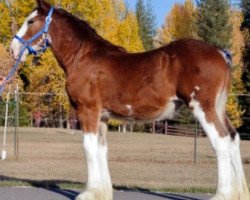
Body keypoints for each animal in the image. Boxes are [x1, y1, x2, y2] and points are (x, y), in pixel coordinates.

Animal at [9, 0, 250, 200]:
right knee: (233, 138)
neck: (83, 57)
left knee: (220, 142)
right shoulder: (103, 117)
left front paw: (88, 193)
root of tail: (220, 53)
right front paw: (102, 192)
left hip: (203, 108)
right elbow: (101, 149)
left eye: (31, 21)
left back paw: (222, 194)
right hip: (218, 108)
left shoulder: (88, 111)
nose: (13, 48)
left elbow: (88, 148)